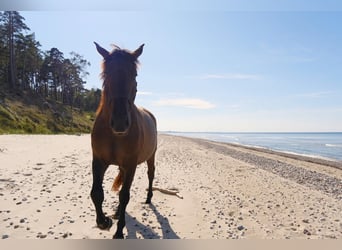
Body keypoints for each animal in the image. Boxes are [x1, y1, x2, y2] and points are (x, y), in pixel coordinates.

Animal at [90, 42, 158, 239]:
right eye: (106, 74)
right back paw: (116, 212)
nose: (120, 122)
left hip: (150, 157)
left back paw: (148, 198)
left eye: (134, 74)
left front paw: (119, 231)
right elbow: (96, 193)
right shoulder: (99, 161)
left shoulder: (130, 164)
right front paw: (103, 221)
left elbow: (125, 195)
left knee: (150, 175)